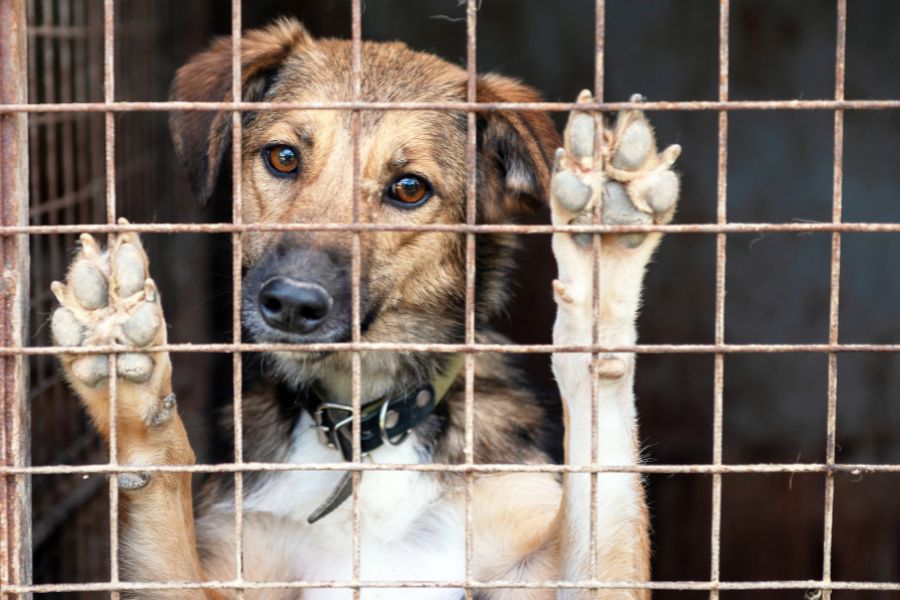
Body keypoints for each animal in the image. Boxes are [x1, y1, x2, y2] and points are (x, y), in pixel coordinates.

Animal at [47, 18, 684, 600]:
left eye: (409, 188)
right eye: (282, 157)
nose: (291, 304)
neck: (363, 428)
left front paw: (602, 251)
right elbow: (161, 484)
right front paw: (128, 379)